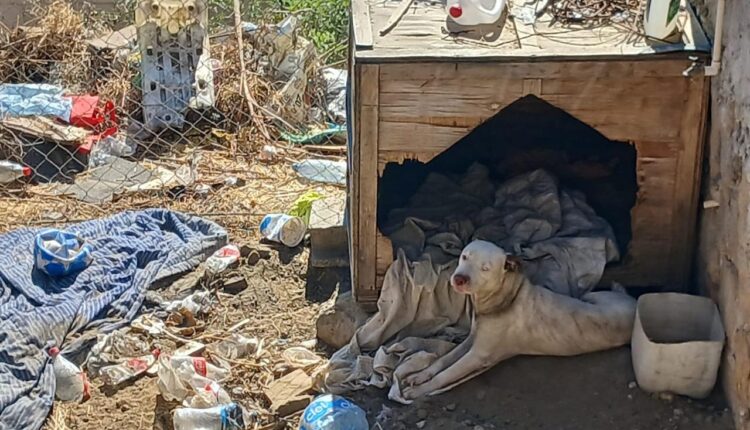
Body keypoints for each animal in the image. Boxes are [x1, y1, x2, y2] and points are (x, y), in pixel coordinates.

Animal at [402, 240, 636, 402]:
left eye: (485, 268)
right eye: (464, 257)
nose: (459, 279)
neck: (505, 296)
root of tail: (633, 302)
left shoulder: (477, 356)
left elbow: (445, 375)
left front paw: (419, 390)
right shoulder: (472, 341)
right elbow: (442, 360)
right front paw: (421, 375)